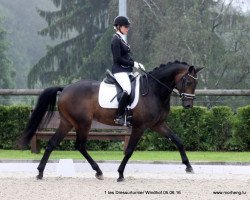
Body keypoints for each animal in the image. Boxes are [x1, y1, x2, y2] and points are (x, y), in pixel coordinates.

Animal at [19, 60, 203, 181]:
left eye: (196, 83)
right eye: (187, 81)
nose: (188, 105)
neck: (154, 90)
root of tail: (65, 88)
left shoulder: (157, 125)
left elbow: (178, 140)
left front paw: (189, 166)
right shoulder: (140, 126)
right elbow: (129, 150)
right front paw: (120, 174)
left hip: (67, 122)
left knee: (52, 143)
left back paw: (40, 172)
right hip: (83, 123)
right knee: (80, 145)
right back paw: (98, 171)